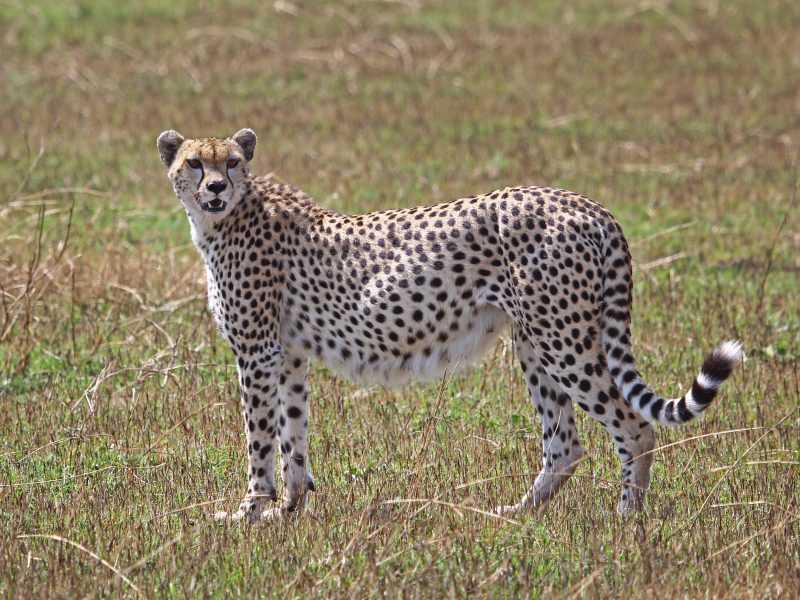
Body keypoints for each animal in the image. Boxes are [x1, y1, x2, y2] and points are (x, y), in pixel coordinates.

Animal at [157, 128, 743, 523]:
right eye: (195, 163)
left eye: (232, 163)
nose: (215, 188)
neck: (227, 217)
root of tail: (585, 203)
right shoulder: (289, 354)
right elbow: (291, 436)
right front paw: (289, 510)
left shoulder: (256, 353)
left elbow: (258, 438)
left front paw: (250, 512)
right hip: (536, 342)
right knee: (565, 443)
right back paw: (516, 513)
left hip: (564, 339)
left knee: (633, 426)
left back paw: (626, 518)